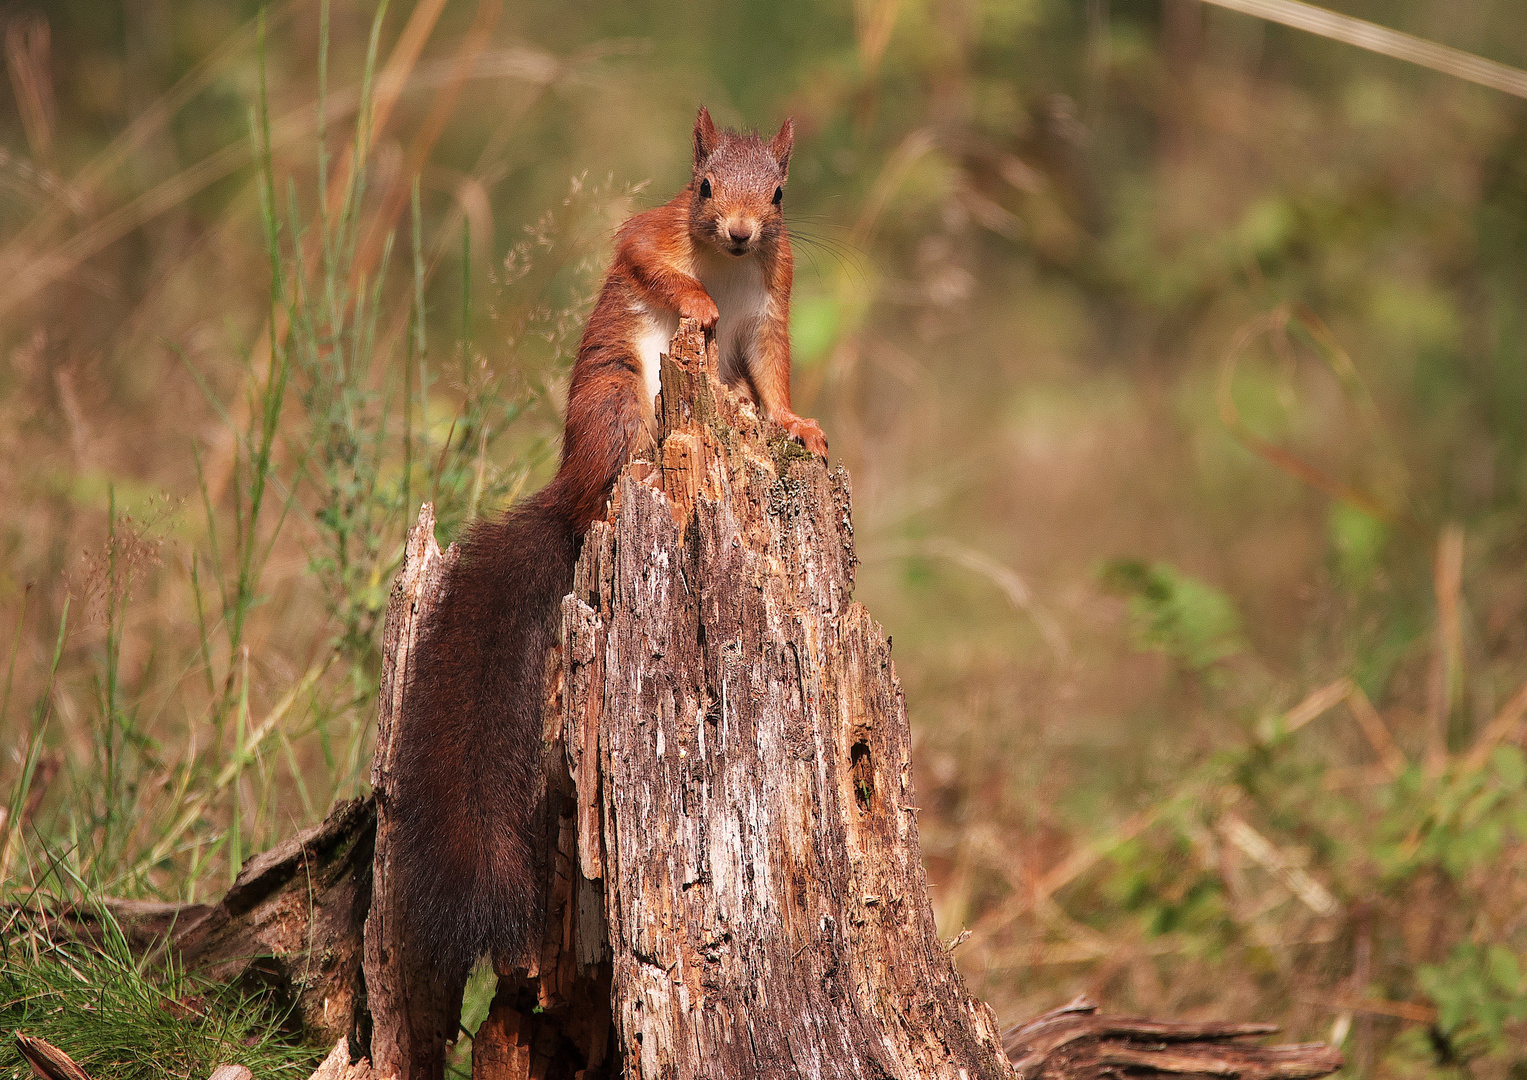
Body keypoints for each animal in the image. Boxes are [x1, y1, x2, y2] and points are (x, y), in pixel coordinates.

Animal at [393, 109, 824, 977]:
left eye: (777, 194)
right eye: (701, 187)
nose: (738, 234)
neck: (728, 268)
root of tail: (572, 492)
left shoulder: (774, 300)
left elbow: (772, 376)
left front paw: (794, 423)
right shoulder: (648, 232)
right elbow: (646, 261)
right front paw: (696, 303)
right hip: (617, 397)